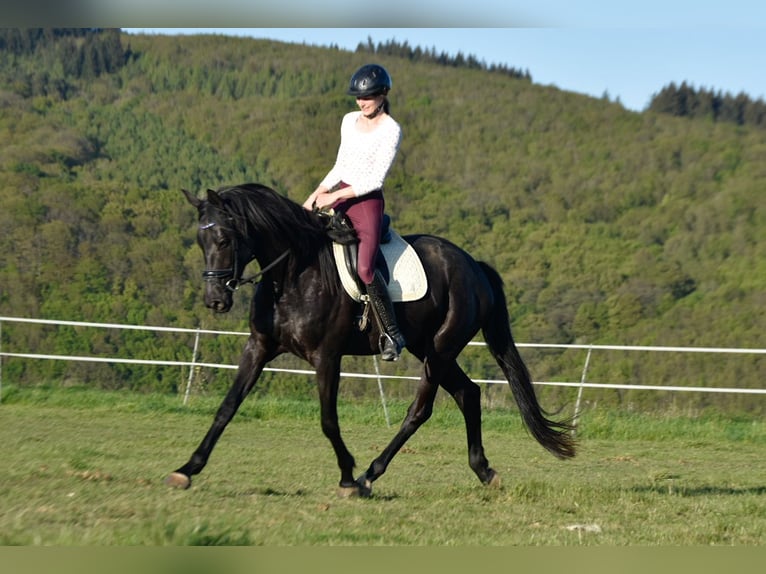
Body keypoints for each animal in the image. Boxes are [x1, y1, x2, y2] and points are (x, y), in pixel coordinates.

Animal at [166, 183, 575, 496]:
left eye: (224, 238)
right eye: (200, 239)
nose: (215, 300)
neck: (294, 273)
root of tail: (474, 266)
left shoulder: (327, 357)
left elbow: (328, 420)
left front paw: (348, 475)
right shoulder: (259, 347)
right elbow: (227, 407)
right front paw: (187, 468)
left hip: (440, 350)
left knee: (420, 411)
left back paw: (369, 475)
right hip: (428, 348)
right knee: (468, 394)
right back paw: (484, 471)